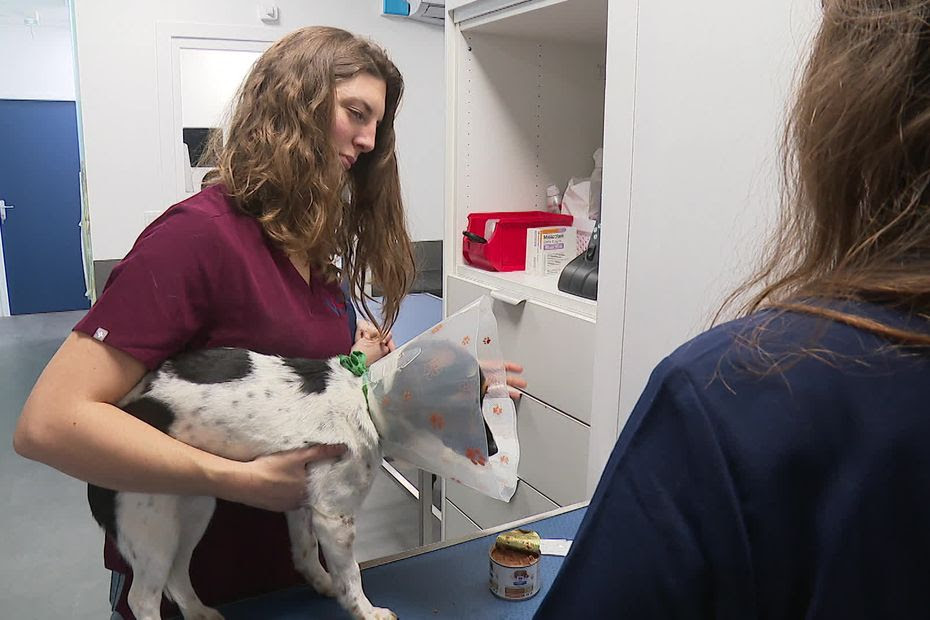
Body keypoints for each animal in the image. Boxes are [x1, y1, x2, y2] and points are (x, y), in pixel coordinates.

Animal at [88, 348, 392, 620]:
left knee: (176, 575)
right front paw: (367, 612)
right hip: (150, 530)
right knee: (141, 599)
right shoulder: (334, 517)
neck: (363, 396)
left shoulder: (302, 501)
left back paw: (199, 613)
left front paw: (324, 583)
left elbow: (305, 552)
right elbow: (351, 575)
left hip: (192, 510)